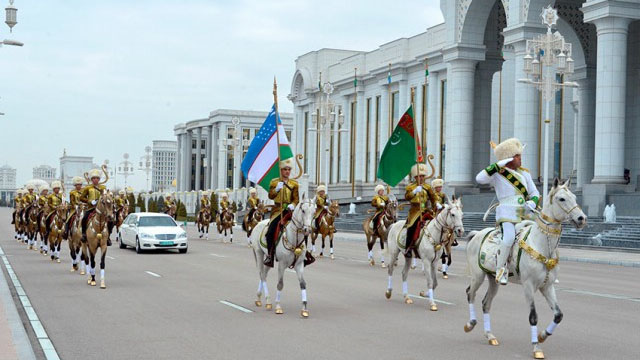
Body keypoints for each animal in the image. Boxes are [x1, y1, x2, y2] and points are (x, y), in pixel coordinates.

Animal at [464, 179, 584, 358]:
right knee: (470, 294)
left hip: (493, 280)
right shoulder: (528, 286)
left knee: (486, 303)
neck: (541, 244)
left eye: (575, 197)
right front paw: (536, 347)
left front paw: (542, 336)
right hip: (478, 276)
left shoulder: (547, 286)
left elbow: (558, 315)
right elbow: (533, 316)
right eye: (561, 198)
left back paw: (490, 336)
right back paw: (470, 324)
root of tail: (476, 234)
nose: (581, 218)